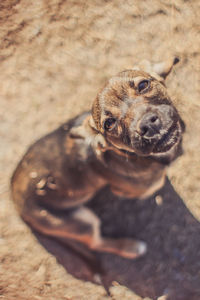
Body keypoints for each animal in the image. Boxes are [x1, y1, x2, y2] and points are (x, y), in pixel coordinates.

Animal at [10, 57, 184, 258]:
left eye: (143, 85)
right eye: (109, 124)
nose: (148, 123)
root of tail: (14, 198)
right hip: (79, 222)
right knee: (95, 243)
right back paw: (130, 247)